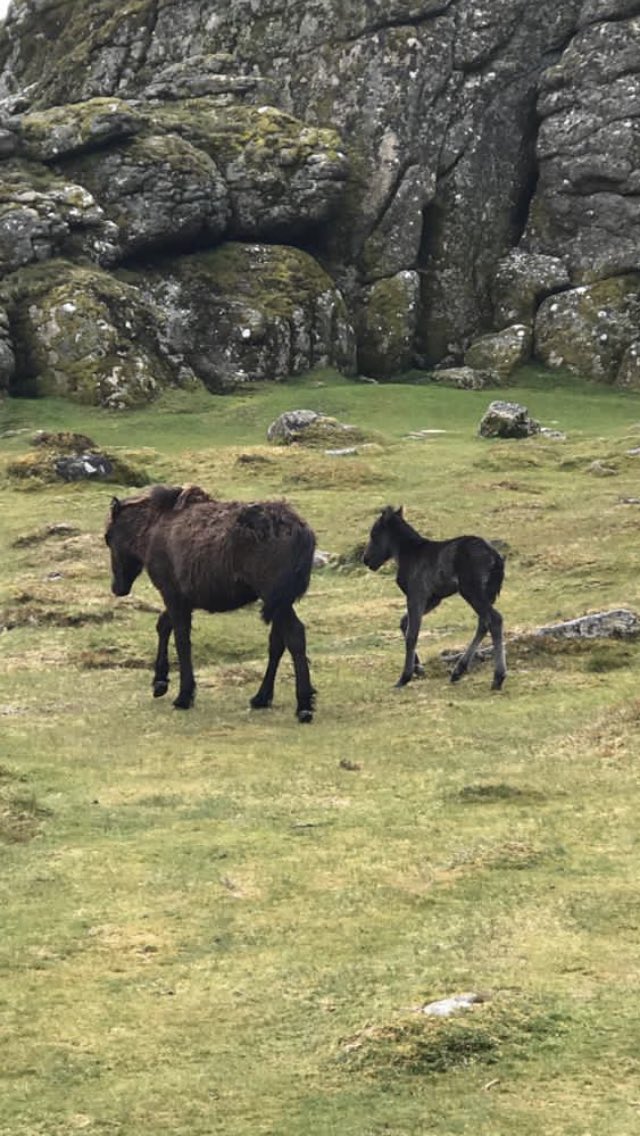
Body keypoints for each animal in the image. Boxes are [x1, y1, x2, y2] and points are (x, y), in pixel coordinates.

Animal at [104, 484, 316, 722]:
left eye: (108, 537)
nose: (117, 588)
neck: (154, 527)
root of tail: (301, 532)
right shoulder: (183, 599)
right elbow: (164, 625)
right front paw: (160, 683)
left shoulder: (172, 594)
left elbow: (181, 640)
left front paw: (184, 695)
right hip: (278, 601)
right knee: (278, 643)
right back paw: (261, 697)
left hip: (276, 600)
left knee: (295, 637)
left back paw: (304, 705)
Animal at [363, 506, 506, 691]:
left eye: (374, 534)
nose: (366, 559)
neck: (409, 553)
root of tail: (495, 557)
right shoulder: (434, 599)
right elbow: (404, 623)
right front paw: (418, 668)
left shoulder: (416, 594)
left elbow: (412, 634)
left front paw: (405, 677)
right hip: (487, 594)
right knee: (484, 623)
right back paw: (458, 671)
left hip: (472, 591)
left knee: (494, 619)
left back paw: (497, 678)